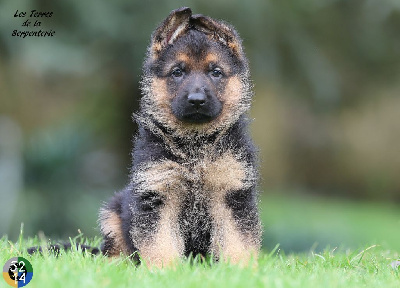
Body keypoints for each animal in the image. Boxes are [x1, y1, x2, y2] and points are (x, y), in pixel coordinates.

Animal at [99, 7, 262, 268]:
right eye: (177, 72)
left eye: (216, 72)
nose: (196, 100)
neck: (194, 144)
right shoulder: (157, 194)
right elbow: (159, 241)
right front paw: (163, 270)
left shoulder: (232, 194)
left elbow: (238, 239)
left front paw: (241, 270)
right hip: (113, 211)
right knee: (114, 250)